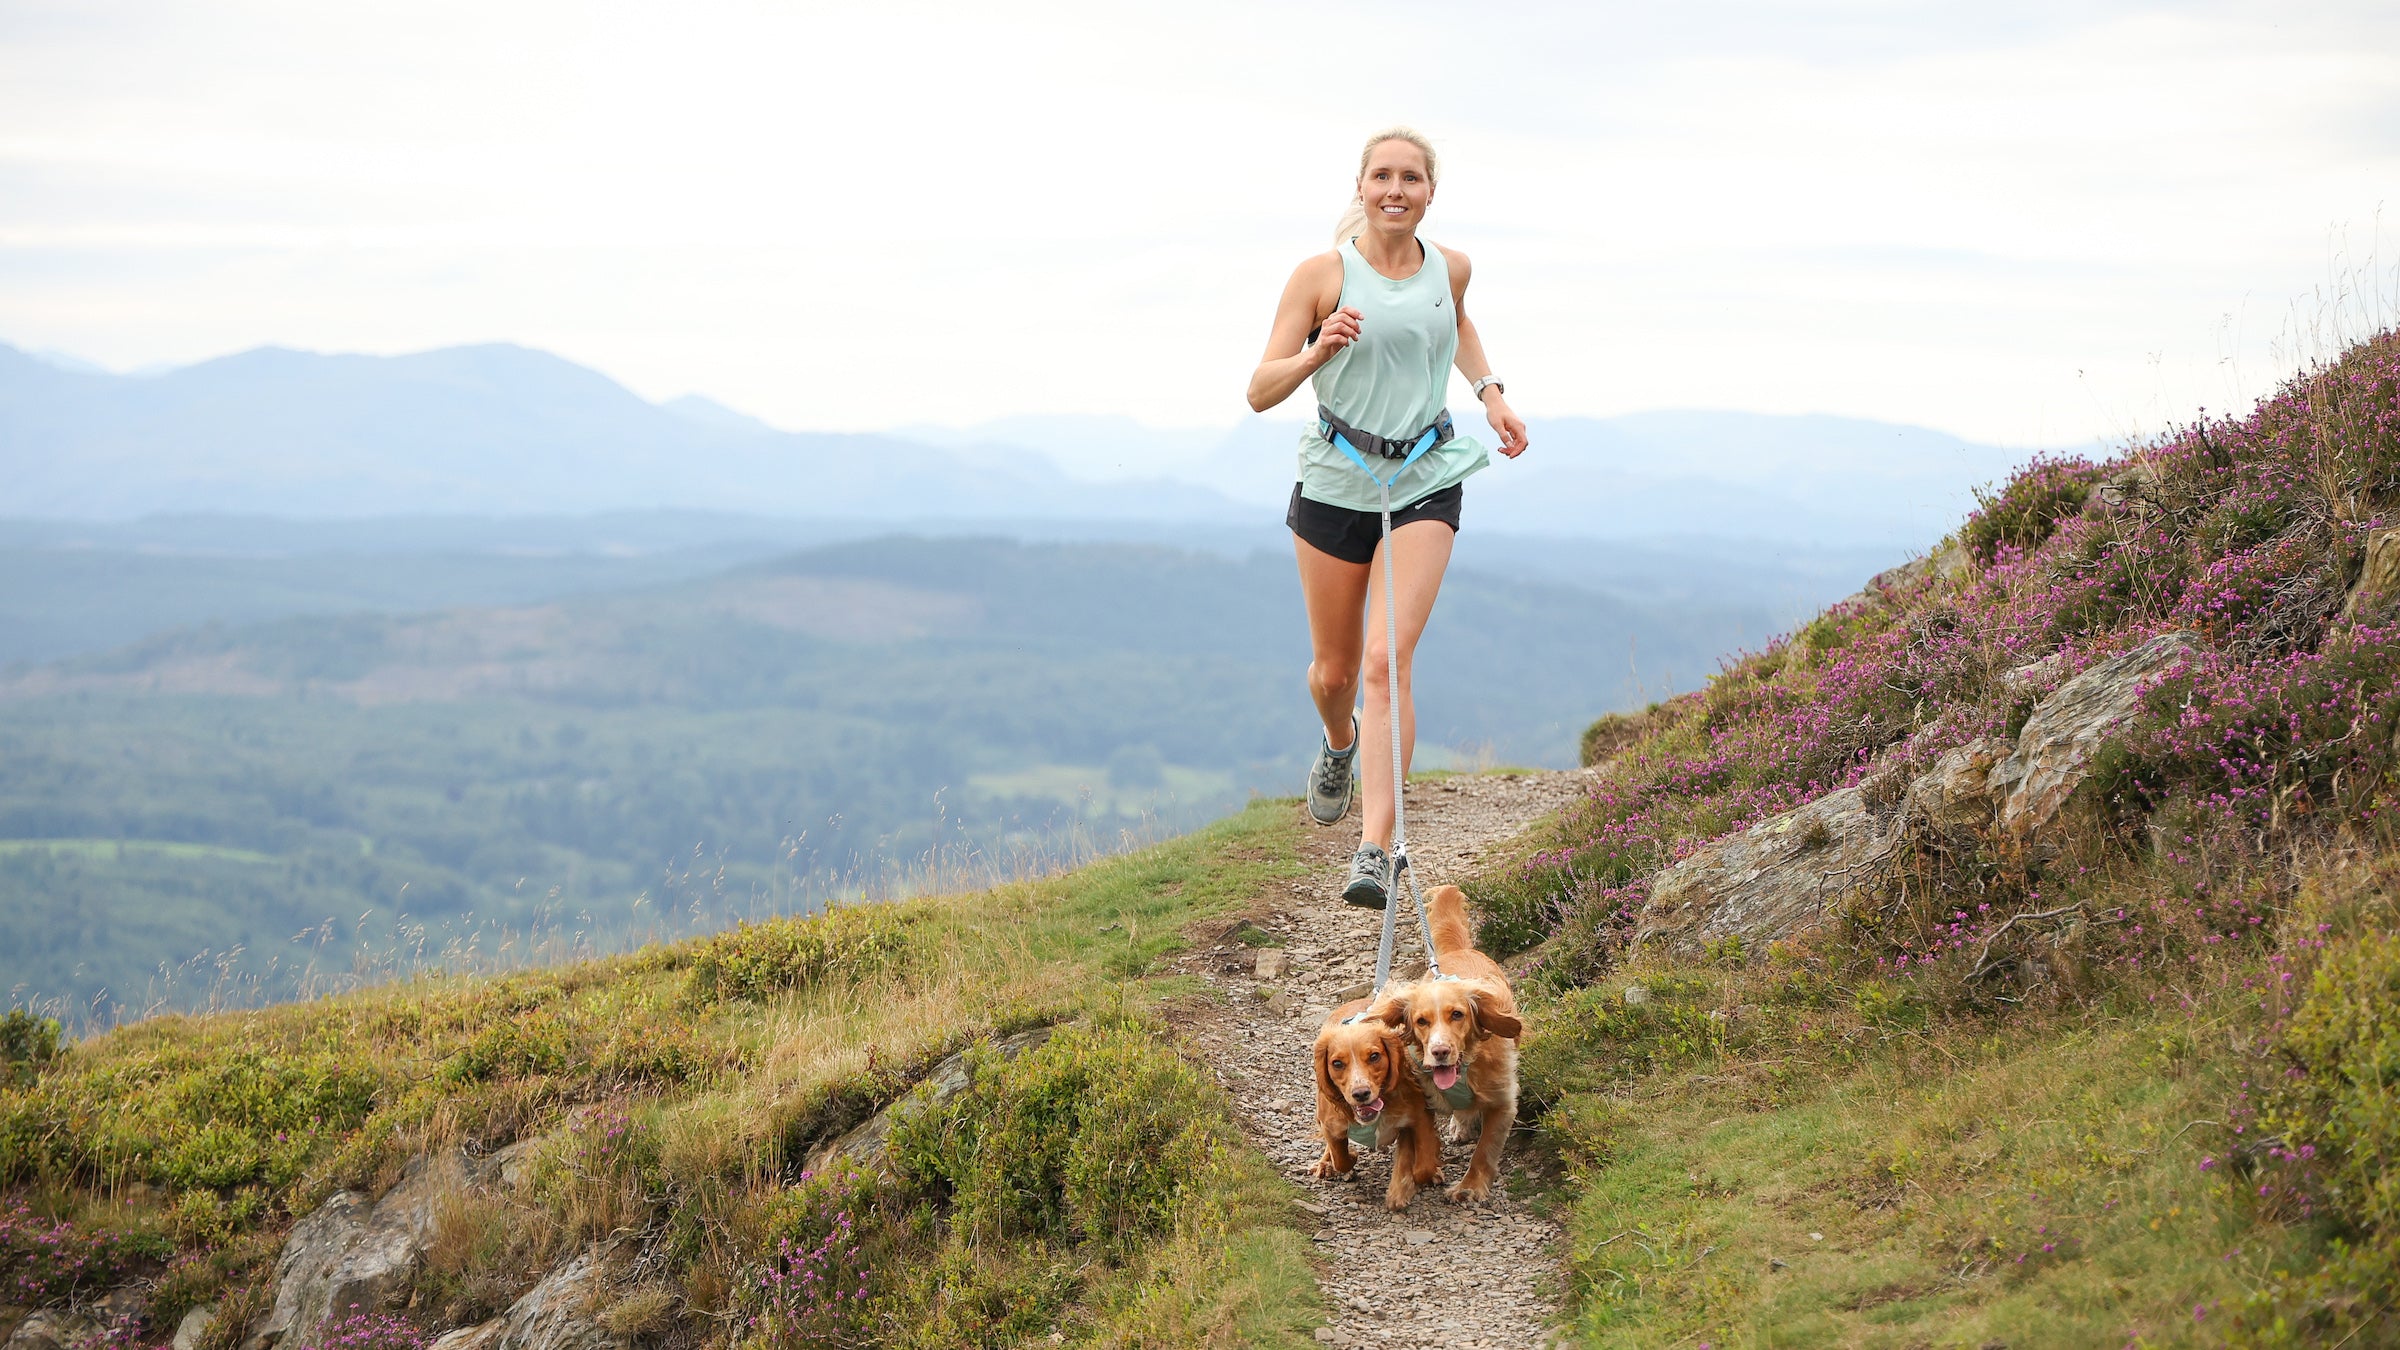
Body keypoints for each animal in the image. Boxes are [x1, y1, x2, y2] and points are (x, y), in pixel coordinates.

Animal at [1315, 989, 1440, 1210]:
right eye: (1337, 1063)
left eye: (1374, 1056)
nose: (1361, 1093)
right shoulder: (1330, 1126)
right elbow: (1341, 1159)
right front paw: (1350, 1156)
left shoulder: (1419, 1117)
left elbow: (1422, 1167)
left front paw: (1403, 1188)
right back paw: (1324, 1163)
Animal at [1372, 883, 1516, 1196]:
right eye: (1421, 1021)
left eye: (1458, 1015)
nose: (1439, 1051)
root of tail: (1459, 950)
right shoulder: (1420, 1098)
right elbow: (1419, 1140)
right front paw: (1416, 1176)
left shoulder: (1502, 1100)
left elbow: (1485, 1150)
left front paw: (1470, 1188)